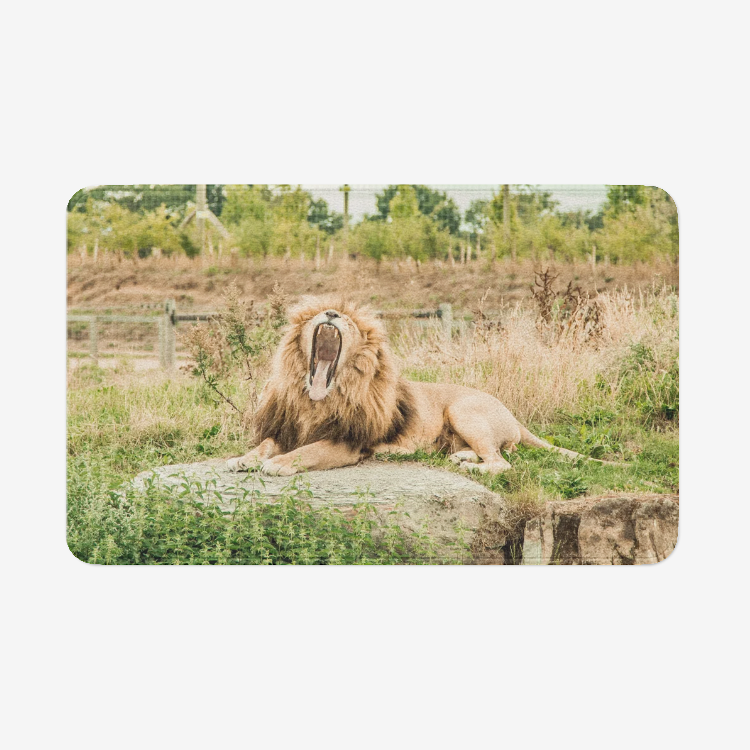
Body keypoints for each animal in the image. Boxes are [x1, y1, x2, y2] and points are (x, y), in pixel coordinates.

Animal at [226, 299, 599, 476]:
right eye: (323, 314)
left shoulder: (347, 443)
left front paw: (278, 465)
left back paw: (467, 464)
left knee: (501, 462)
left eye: (347, 322)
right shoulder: (287, 428)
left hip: (463, 410)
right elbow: (266, 444)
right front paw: (243, 459)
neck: (317, 399)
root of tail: (514, 416)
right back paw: (459, 456)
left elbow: (308, 452)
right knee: (498, 452)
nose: (331, 313)